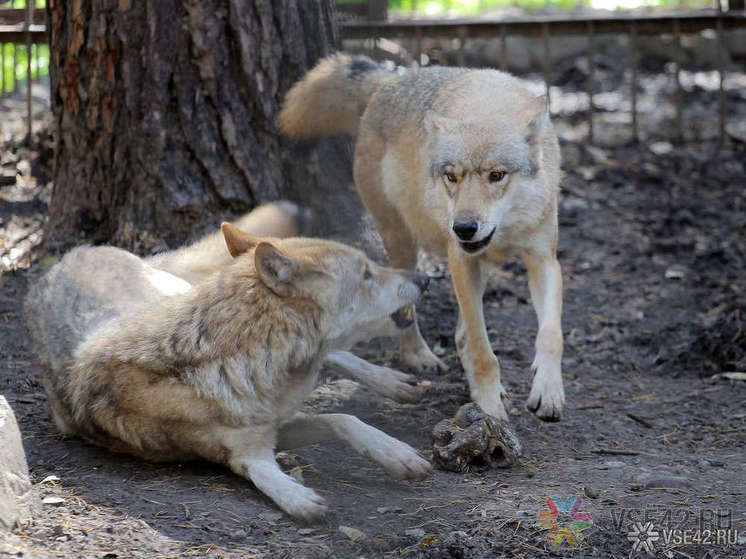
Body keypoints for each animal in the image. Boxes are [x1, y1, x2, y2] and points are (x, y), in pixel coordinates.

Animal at [27, 219, 430, 520]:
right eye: (367, 274)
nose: (425, 279)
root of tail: (72, 255)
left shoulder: (278, 423)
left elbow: (345, 418)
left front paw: (397, 453)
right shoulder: (248, 447)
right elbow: (267, 470)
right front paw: (299, 498)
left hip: (168, 293)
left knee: (337, 356)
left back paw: (394, 382)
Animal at [280, 55, 564, 424]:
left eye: (496, 175)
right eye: (451, 177)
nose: (463, 228)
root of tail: (390, 80)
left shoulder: (544, 261)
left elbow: (551, 335)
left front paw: (548, 391)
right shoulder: (461, 259)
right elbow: (483, 350)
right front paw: (488, 407)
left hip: (476, 265)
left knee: (460, 333)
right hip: (403, 243)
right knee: (411, 311)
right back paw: (419, 355)